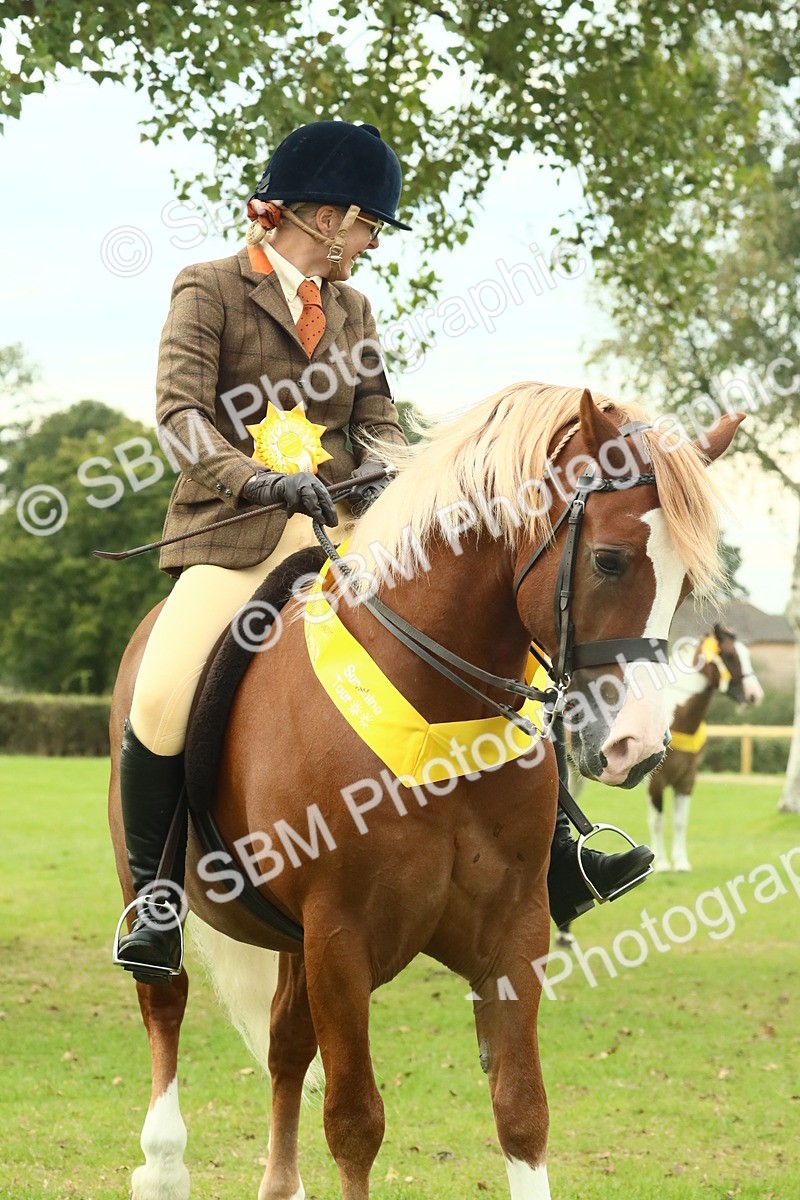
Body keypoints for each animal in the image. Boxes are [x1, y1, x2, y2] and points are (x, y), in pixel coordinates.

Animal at [108, 384, 743, 1200]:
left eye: (686, 584)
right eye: (609, 560)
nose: (640, 748)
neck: (434, 707)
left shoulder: (513, 933)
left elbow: (522, 1111)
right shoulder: (340, 940)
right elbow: (355, 1123)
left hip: (295, 939)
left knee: (285, 1045)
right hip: (163, 888)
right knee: (166, 1000)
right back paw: (161, 1163)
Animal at [647, 624, 764, 871]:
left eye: (747, 654)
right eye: (729, 655)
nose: (754, 695)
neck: (678, 719)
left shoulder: (687, 779)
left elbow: (680, 821)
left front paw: (681, 863)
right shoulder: (656, 781)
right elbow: (657, 821)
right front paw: (661, 863)